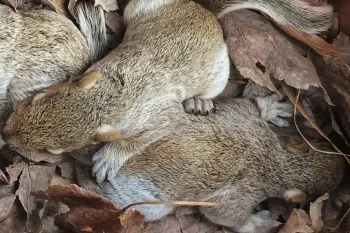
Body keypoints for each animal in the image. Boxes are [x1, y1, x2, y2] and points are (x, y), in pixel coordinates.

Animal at [3, 0, 336, 183]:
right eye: (38, 98)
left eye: (53, 150)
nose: (5, 135)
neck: (111, 95)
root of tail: (206, 12)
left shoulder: (161, 116)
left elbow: (140, 139)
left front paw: (109, 158)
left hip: (218, 74)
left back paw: (200, 101)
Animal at [74, 93, 344, 233]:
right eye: (311, 197)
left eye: (320, 140)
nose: (343, 165)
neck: (275, 158)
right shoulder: (242, 194)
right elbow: (228, 217)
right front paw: (259, 222)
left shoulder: (243, 117)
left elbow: (249, 105)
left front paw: (272, 109)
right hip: (143, 201)